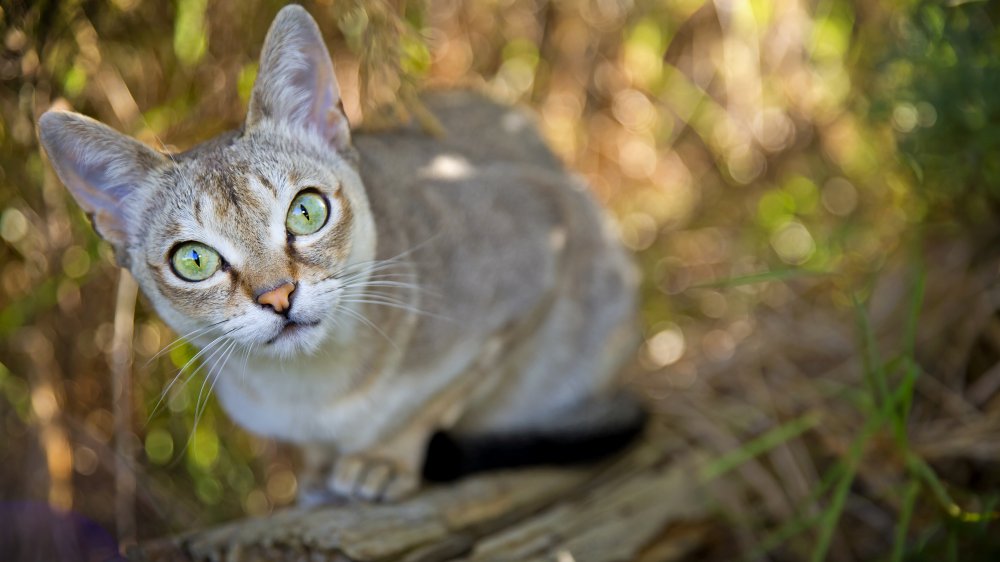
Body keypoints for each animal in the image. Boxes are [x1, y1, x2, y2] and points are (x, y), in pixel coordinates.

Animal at [39, 5, 644, 504]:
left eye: (306, 211)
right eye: (193, 261)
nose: (278, 296)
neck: (314, 392)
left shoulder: (541, 244)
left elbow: (440, 400)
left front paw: (383, 460)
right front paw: (317, 471)